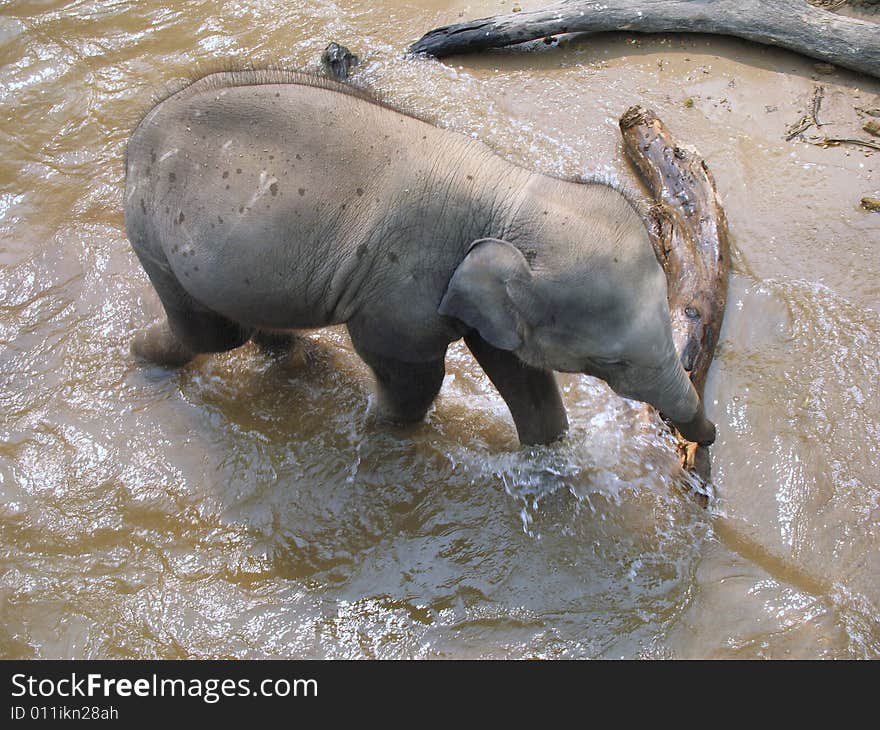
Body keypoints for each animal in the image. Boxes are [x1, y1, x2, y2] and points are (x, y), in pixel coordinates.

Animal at [124, 69, 716, 444]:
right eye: (610, 363)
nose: (706, 439)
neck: (507, 193)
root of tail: (142, 129)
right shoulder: (399, 294)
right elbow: (414, 375)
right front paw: (377, 425)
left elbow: (520, 374)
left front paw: (548, 452)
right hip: (153, 233)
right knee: (213, 334)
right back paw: (140, 355)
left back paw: (297, 358)